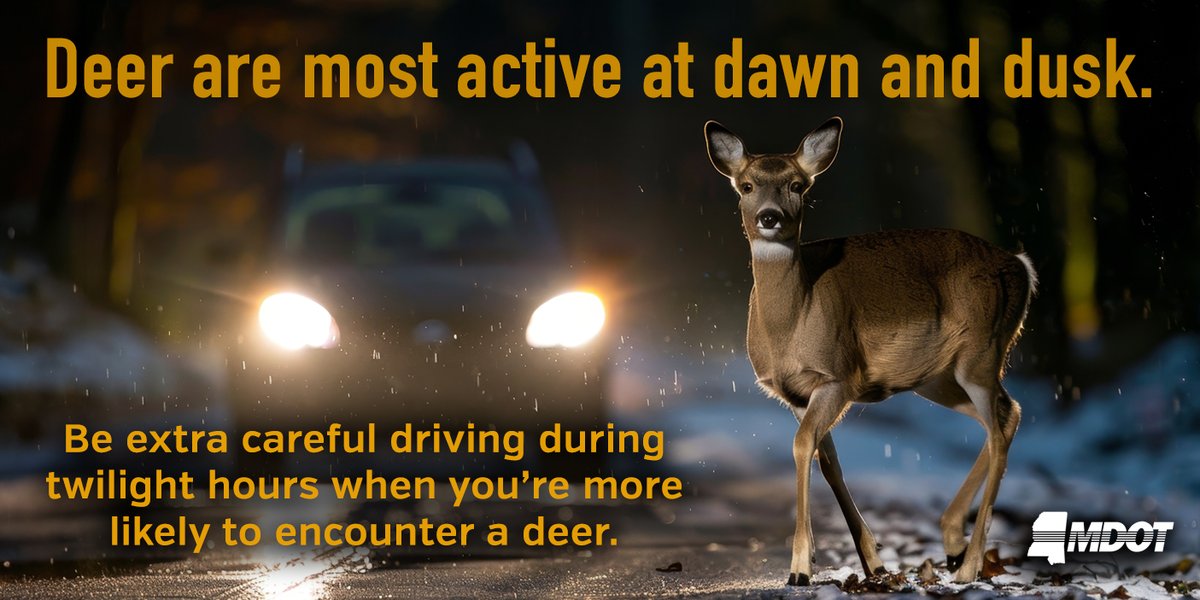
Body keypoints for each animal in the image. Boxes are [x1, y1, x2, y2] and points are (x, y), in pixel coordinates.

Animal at [703, 117, 1035, 585]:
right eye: (747, 185)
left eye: (797, 185)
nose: (770, 216)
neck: (793, 322)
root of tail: (1021, 266)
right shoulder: (795, 394)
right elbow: (827, 459)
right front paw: (872, 561)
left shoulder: (839, 375)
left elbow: (802, 445)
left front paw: (800, 568)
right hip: (938, 378)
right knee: (1007, 414)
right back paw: (953, 545)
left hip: (983, 350)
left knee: (1000, 422)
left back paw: (969, 566)